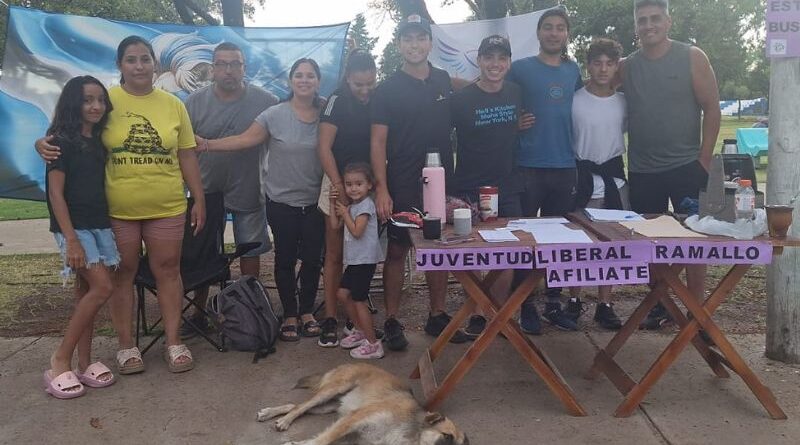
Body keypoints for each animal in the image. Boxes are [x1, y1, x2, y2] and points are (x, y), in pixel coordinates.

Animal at [256, 363, 469, 445]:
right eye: (447, 437)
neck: (412, 433)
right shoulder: (354, 419)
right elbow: (322, 440)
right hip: (333, 390)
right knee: (301, 407)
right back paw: (283, 420)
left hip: (329, 405)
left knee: (296, 406)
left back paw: (271, 414)